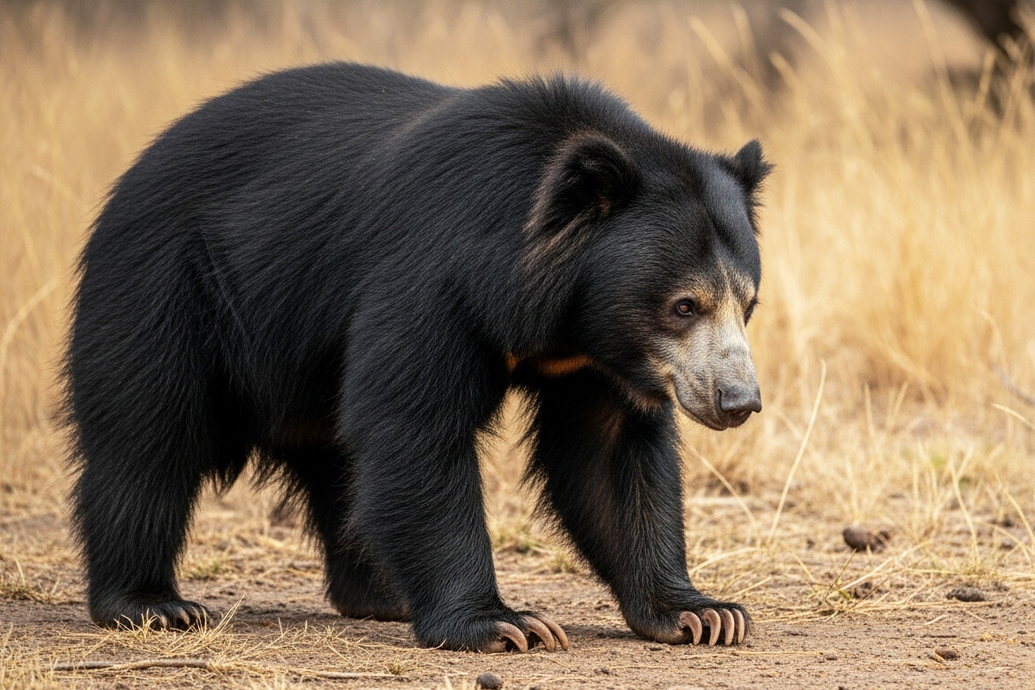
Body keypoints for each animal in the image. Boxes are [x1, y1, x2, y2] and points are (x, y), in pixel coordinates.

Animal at [65, 63, 768, 652]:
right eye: (684, 305)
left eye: (747, 303)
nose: (739, 402)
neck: (565, 319)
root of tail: (136, 171)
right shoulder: (431, 280)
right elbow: (416, 427)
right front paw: (505, 626)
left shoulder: (599, 359)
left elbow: (611, 454)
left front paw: (702, 613)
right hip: (169, 289)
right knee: (147, 436)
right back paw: (154, 604)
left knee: (337, 460)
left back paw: (382, 594)